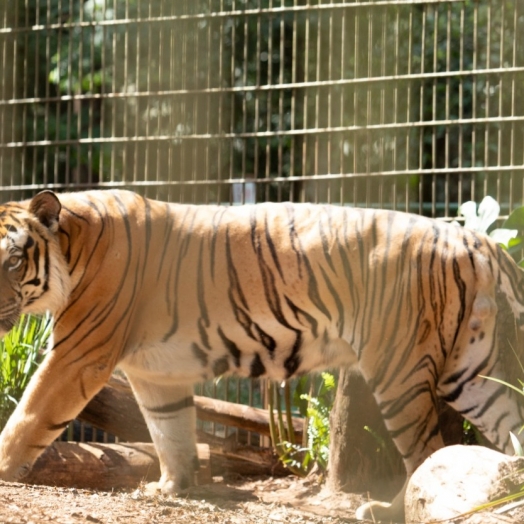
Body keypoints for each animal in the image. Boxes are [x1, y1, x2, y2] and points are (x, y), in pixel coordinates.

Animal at [0, 190, 524, 520]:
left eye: (12, 260)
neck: (71, 243)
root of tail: (478, 238)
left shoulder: (78, 354)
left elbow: (29, 415)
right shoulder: (156, 373)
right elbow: (170, 430)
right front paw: (172, 487)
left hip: (400, 372)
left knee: (424, 455)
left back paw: (383, 510)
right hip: (474, 372)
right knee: (507, 429)